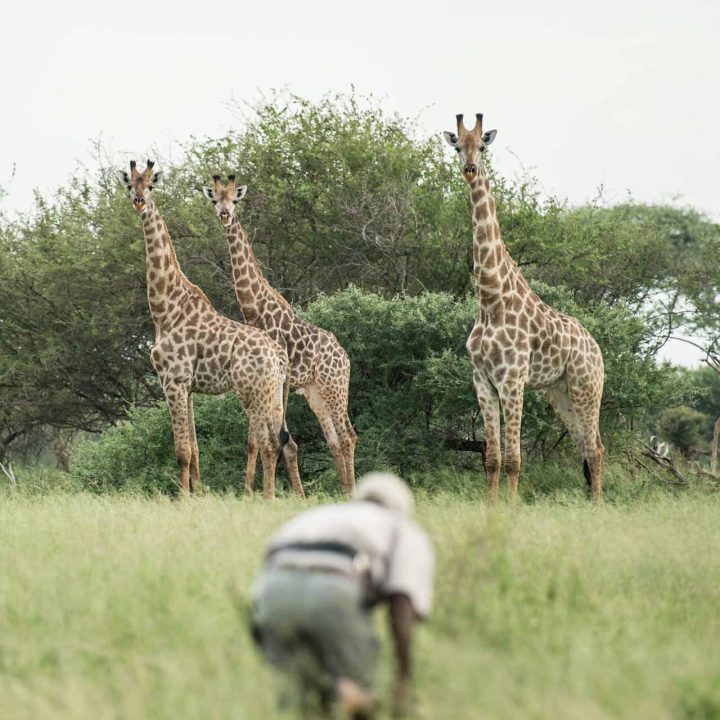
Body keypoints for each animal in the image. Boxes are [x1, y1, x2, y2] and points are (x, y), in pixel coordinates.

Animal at [114, 160, 304, 498]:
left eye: (150, 185)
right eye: (129, 185)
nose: (139, 201)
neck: (165, 308)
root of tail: (281, 357)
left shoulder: (173, 380)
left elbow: (181, 451)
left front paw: (183, 499)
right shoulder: (186, 386)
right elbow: (195, 449)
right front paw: (199, 495)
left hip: (253, 392)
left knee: (270, 442)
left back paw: (266, 498)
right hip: (274, 395)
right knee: (285, 442)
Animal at [201, 175, 358, 492]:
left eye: (234, 200)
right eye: (215, 200)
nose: (224, 215)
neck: (255, 309)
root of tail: (345, 357)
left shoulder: (276, 379)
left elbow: (276, 440)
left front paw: (259, 491)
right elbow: (263, 441)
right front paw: (255, 491)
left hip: (334, 385)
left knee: (348, 436)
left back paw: (353, 491)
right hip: (314, 392)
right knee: (335, 440)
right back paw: (345, 490)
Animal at [442, 115, 604, 504]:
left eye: (482, 147)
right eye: (458, 147)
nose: (470, 170)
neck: (490, 300)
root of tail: (596, 347)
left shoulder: (512, 379)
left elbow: (515, 459)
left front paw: (511, 510)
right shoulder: (482, 381)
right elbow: (492, 458)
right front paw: (490, 508)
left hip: (587, 387)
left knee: (595, 449)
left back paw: (600, 508)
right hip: (560, 393)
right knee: (587, 446)